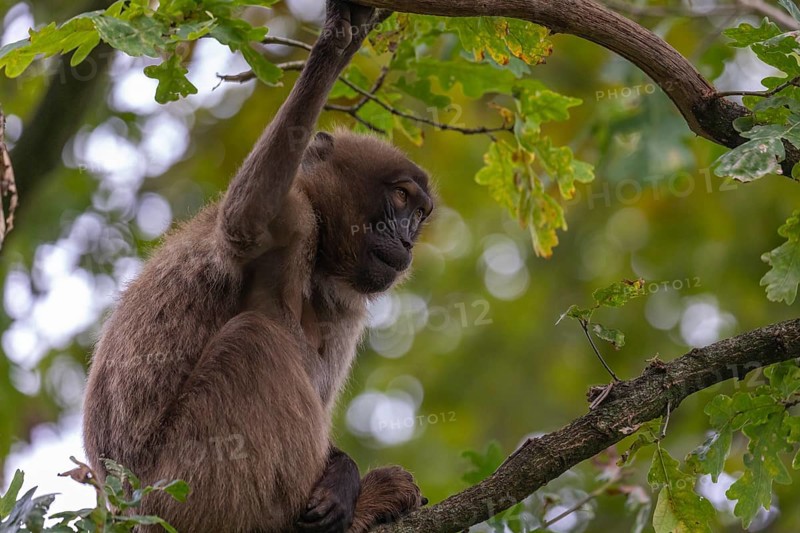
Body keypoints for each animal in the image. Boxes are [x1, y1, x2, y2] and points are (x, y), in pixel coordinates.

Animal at [82, 2, 434, 532]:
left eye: (419, 213)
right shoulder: (297, 219)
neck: (318, 260)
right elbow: (244, 222)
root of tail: (130, 510)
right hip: (186, 488)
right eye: (399, 197)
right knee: (254, 339)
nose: (407, 239)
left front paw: (343, 475)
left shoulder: (347, 303)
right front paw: (336, 43)